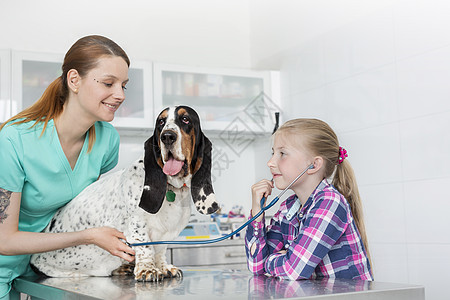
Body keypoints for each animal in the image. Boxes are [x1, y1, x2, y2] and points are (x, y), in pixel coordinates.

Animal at [30, 105, 219, 282]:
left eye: (185, 119)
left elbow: (160, 251)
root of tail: (32, 260)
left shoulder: (165, 235)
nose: (167, 137)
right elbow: (146, 247)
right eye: (161, 122)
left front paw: (163, 267)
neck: (172, 188)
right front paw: (148, 270)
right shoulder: (137, 227)